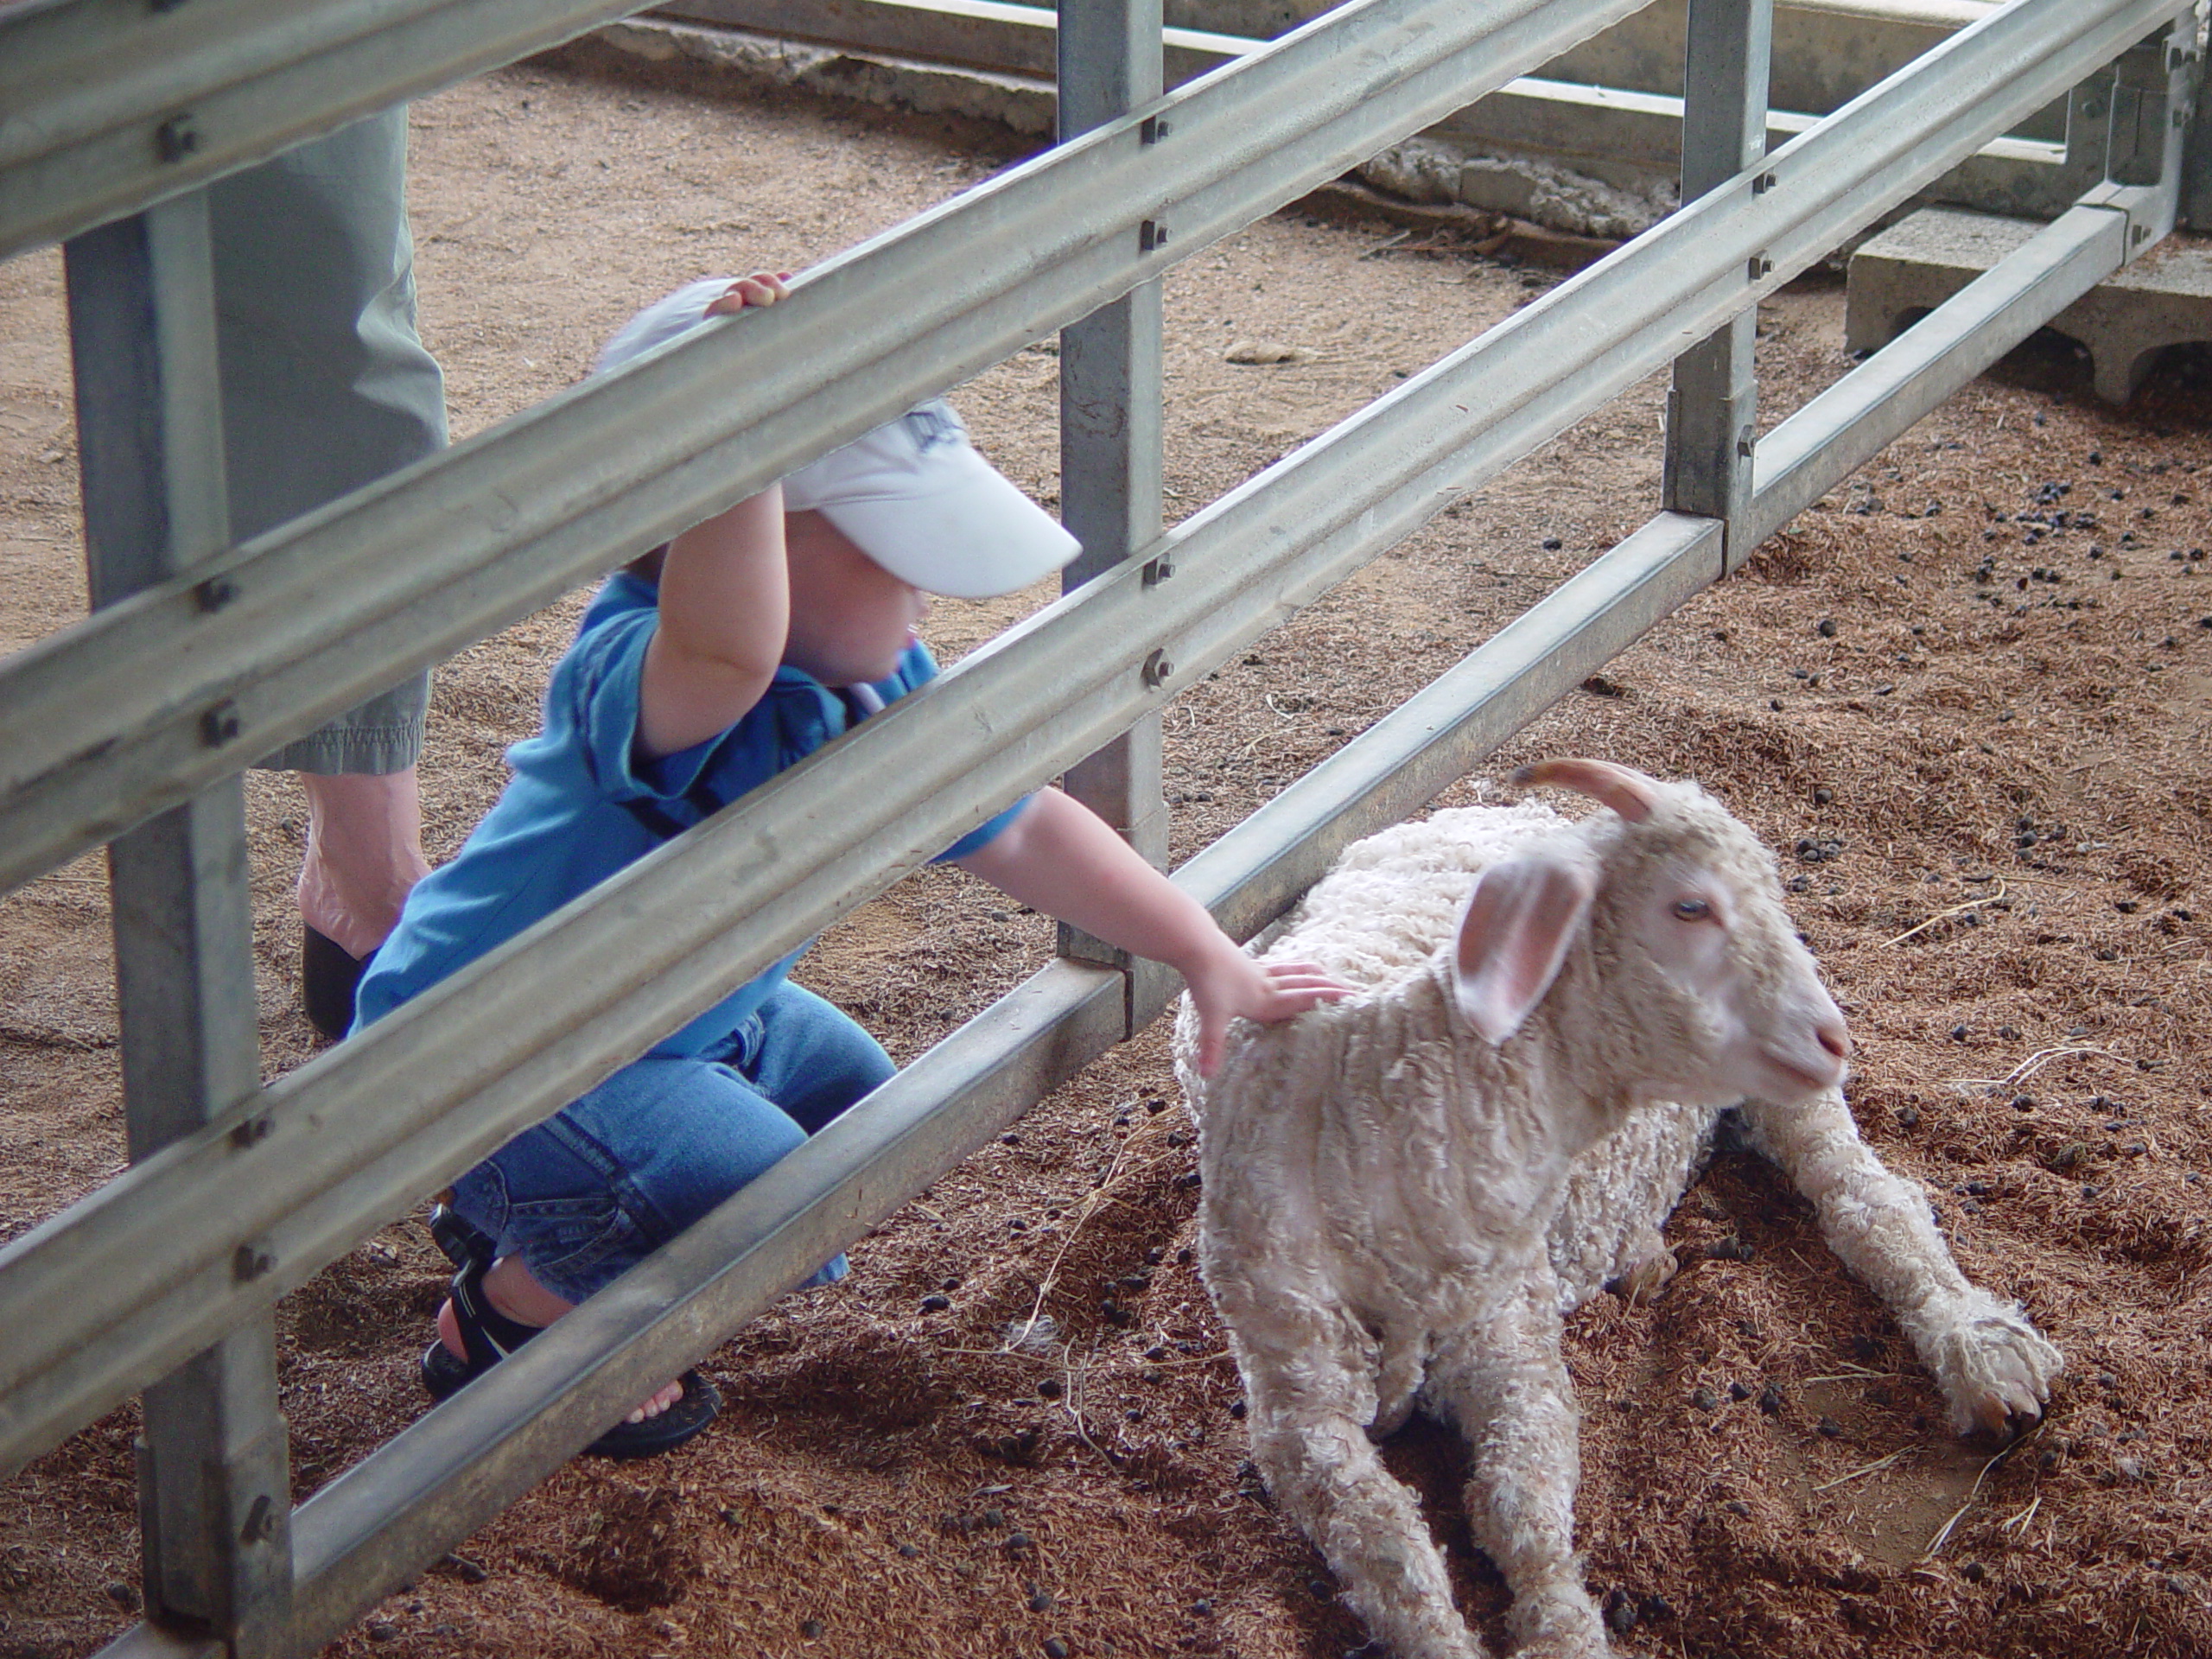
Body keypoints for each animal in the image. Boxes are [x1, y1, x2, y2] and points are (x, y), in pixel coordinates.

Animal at [1176, 765, 2052, 1659]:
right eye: (1691, 906)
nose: (1833, 1036)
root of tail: (1500, 808)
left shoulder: (1510, 1339)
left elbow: (1521, 1504)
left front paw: (1562, 1629)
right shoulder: (1297, 1406)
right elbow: (1388, 1551)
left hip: (1784, 1102)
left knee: (1868, 1199)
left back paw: (1980, 1345)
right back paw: (1645, 1260)